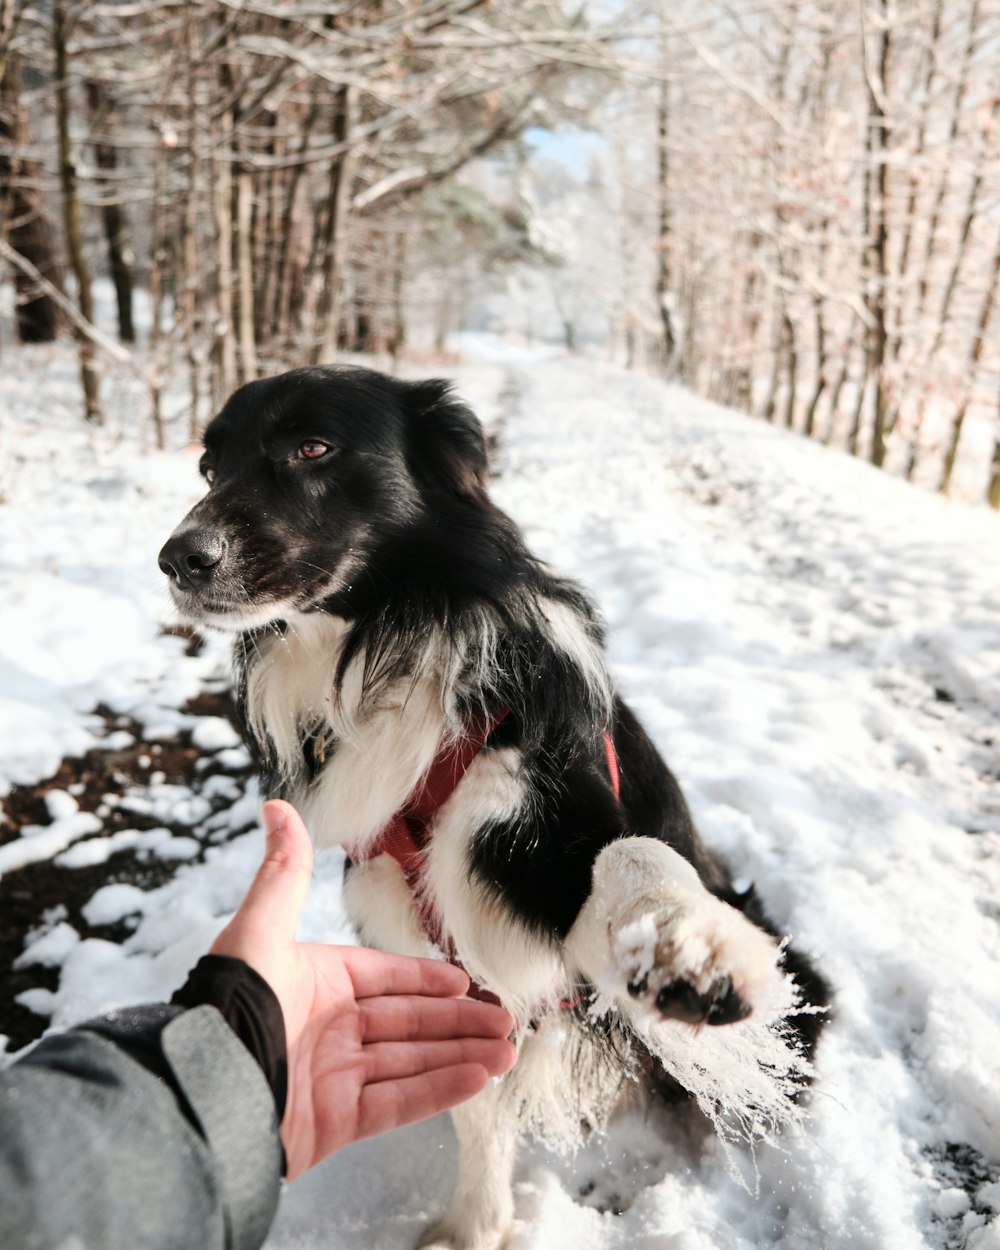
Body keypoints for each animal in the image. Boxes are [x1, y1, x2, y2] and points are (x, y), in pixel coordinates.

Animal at [158, 365, 830, 1250]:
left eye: (314, 447)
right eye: (209, 468)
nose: (176, 558)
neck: (384, 643)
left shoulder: (546, 846)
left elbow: (630, 853)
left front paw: (684, 939)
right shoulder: (425, 938)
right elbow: (477, 1101)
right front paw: (475, 1225)